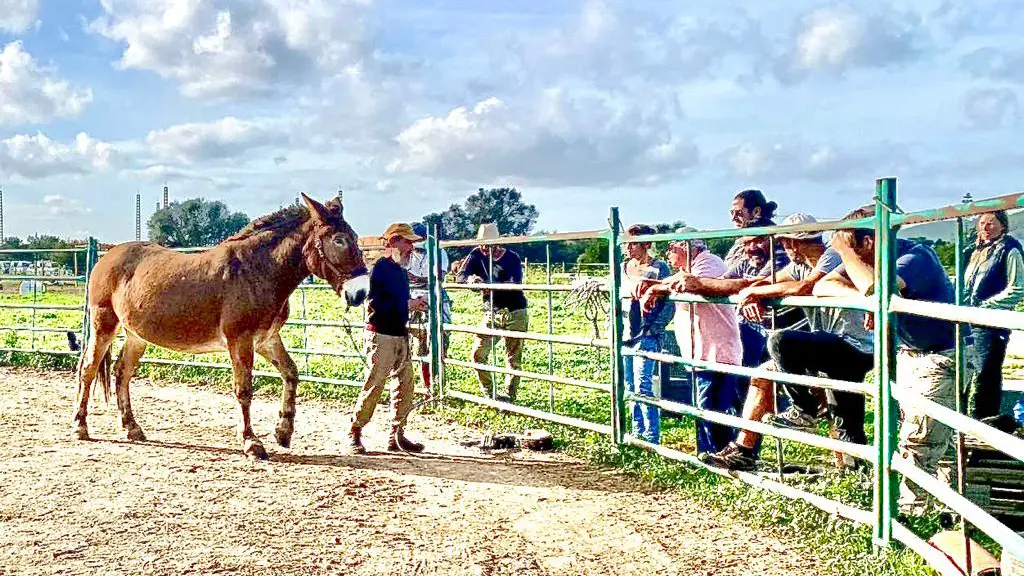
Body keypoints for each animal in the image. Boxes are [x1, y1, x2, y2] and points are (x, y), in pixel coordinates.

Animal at [71, 193, 369, 460]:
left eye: (355, 238)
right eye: (339, 240)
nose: (361, 293)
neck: (256, 271)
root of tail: (106, 257)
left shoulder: (266, 339)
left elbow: (291, 373)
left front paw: (283, 431)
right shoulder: (240, 340)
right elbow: (244, 390)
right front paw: (251, 442)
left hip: (136, 335)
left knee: (122, 372)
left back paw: (131, 427)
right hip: (104, 325)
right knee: (88, 369)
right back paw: (80, 426)